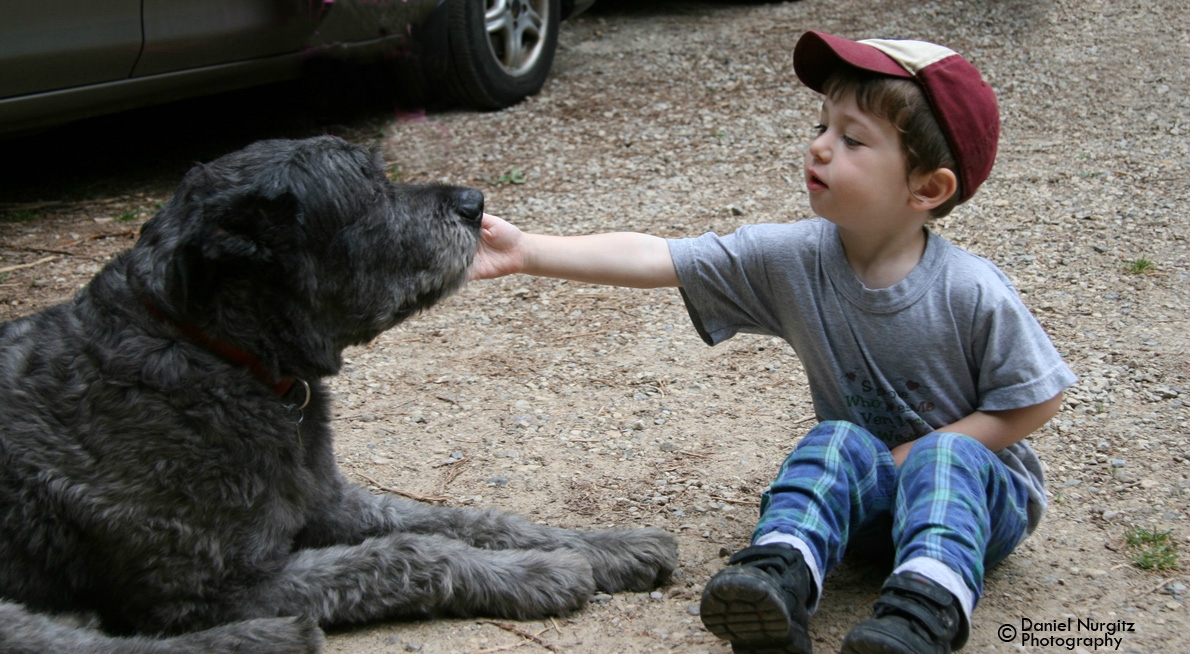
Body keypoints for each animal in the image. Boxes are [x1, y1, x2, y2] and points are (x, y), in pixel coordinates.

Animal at [0, 136, 680, 651]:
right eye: (368, 194)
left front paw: (605, 547)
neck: (214, 353)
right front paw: (541, 573)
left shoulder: (330, 503)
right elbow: (408, 555)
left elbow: (469, 519)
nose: (474, 202)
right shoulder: (212, 590)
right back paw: (270, 637)